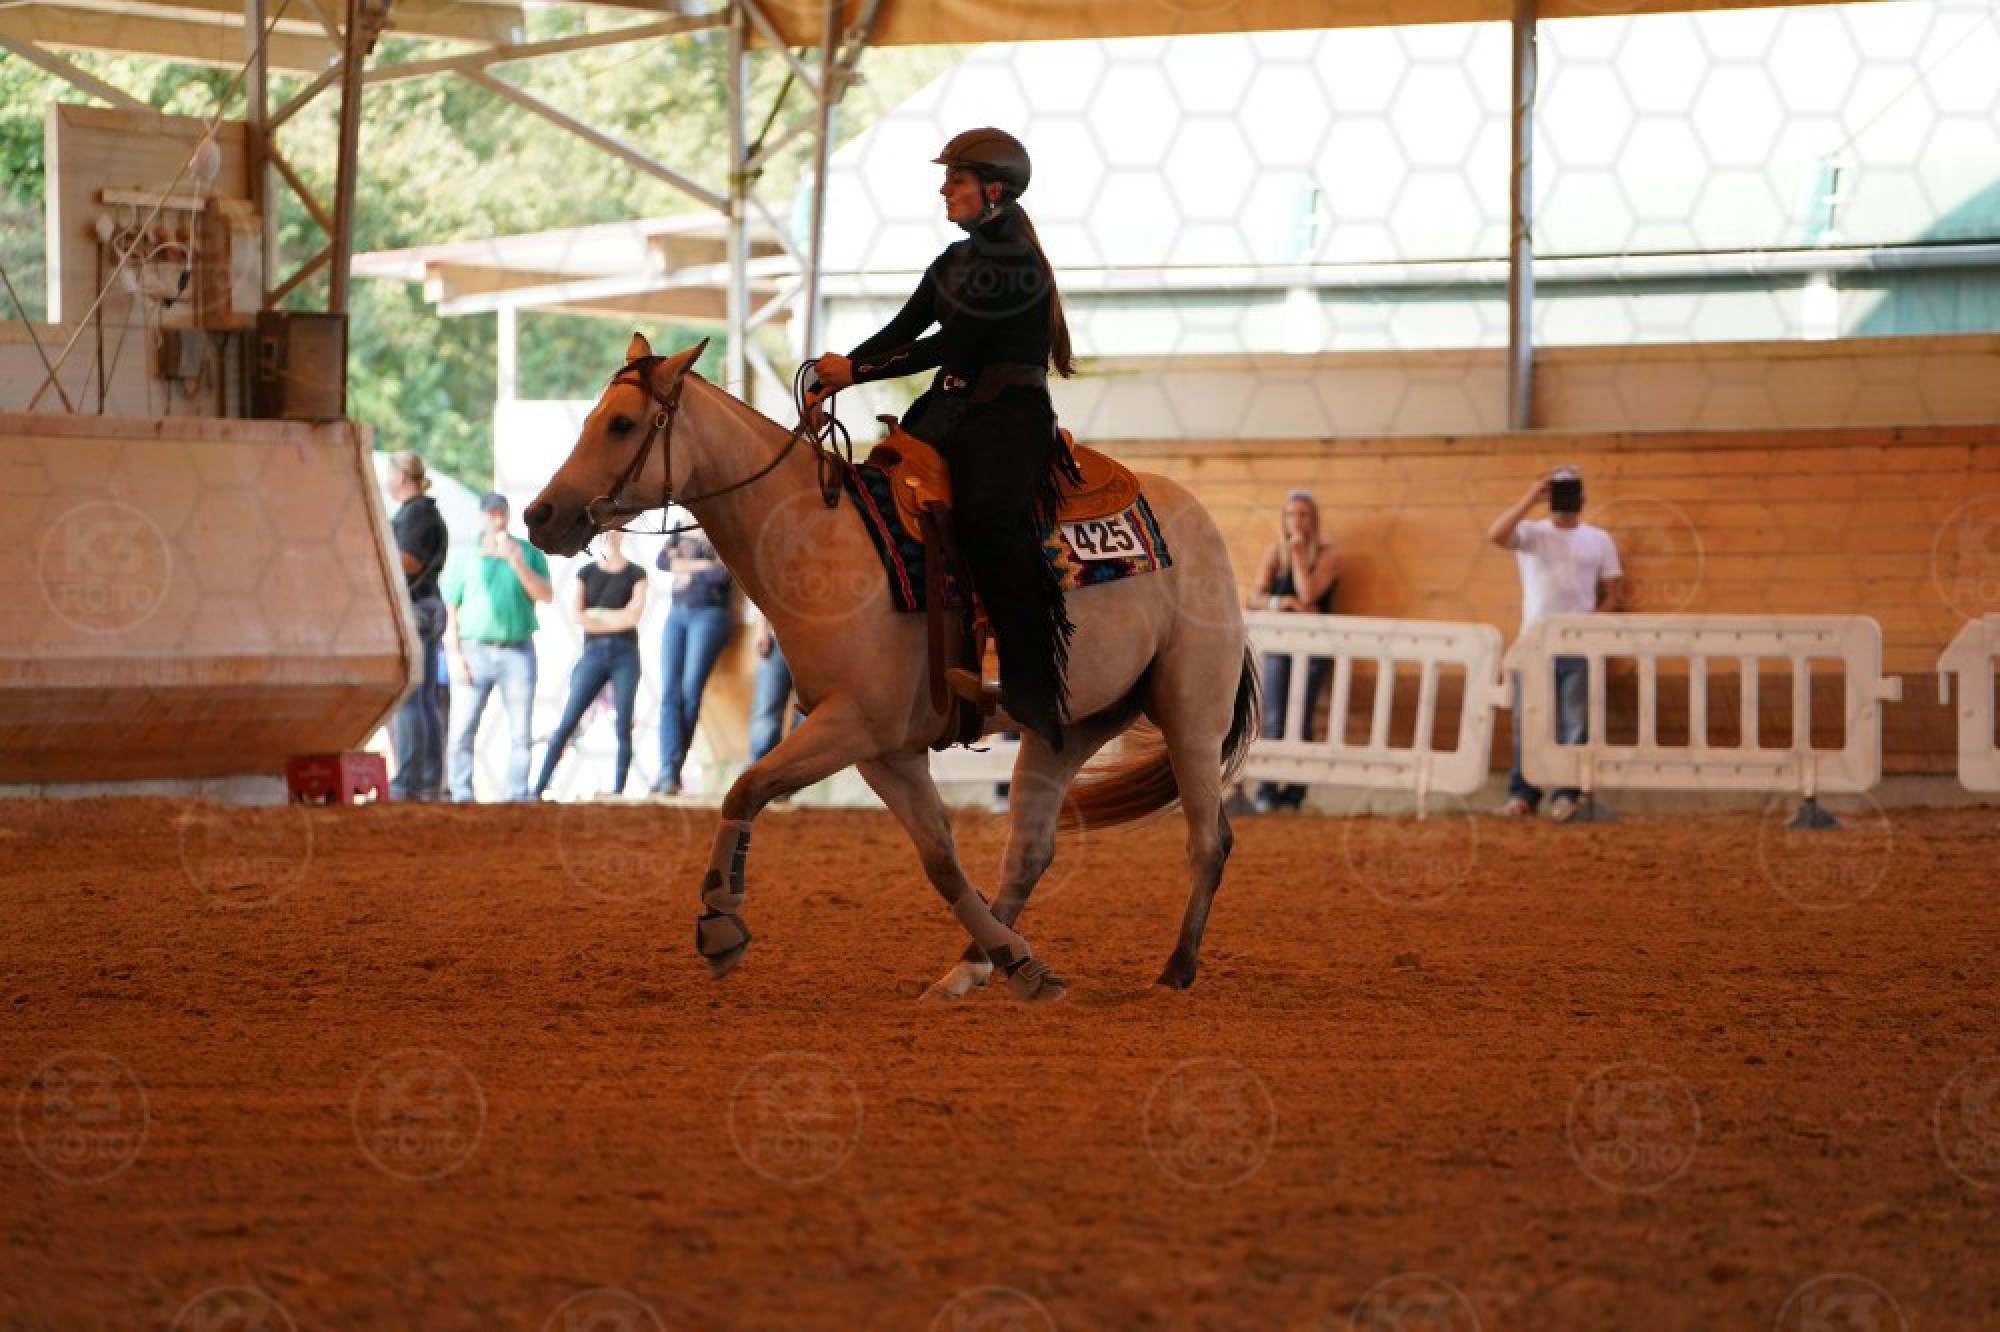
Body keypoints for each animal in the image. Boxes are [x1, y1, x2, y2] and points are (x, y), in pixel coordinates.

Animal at [524, 334, 1258, 1000]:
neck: (820, 541)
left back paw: (1176, 969)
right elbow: (941, 862)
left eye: (621, 424)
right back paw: (978, 968)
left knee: (1209, 839)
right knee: (1030, 850)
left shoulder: (853, 725)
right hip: (1067, 727)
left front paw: (719, 925)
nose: (540, 515)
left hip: (1191, 712)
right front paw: (1015, 962)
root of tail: (1197, 519)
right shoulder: (887, 751)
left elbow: (745, 790)